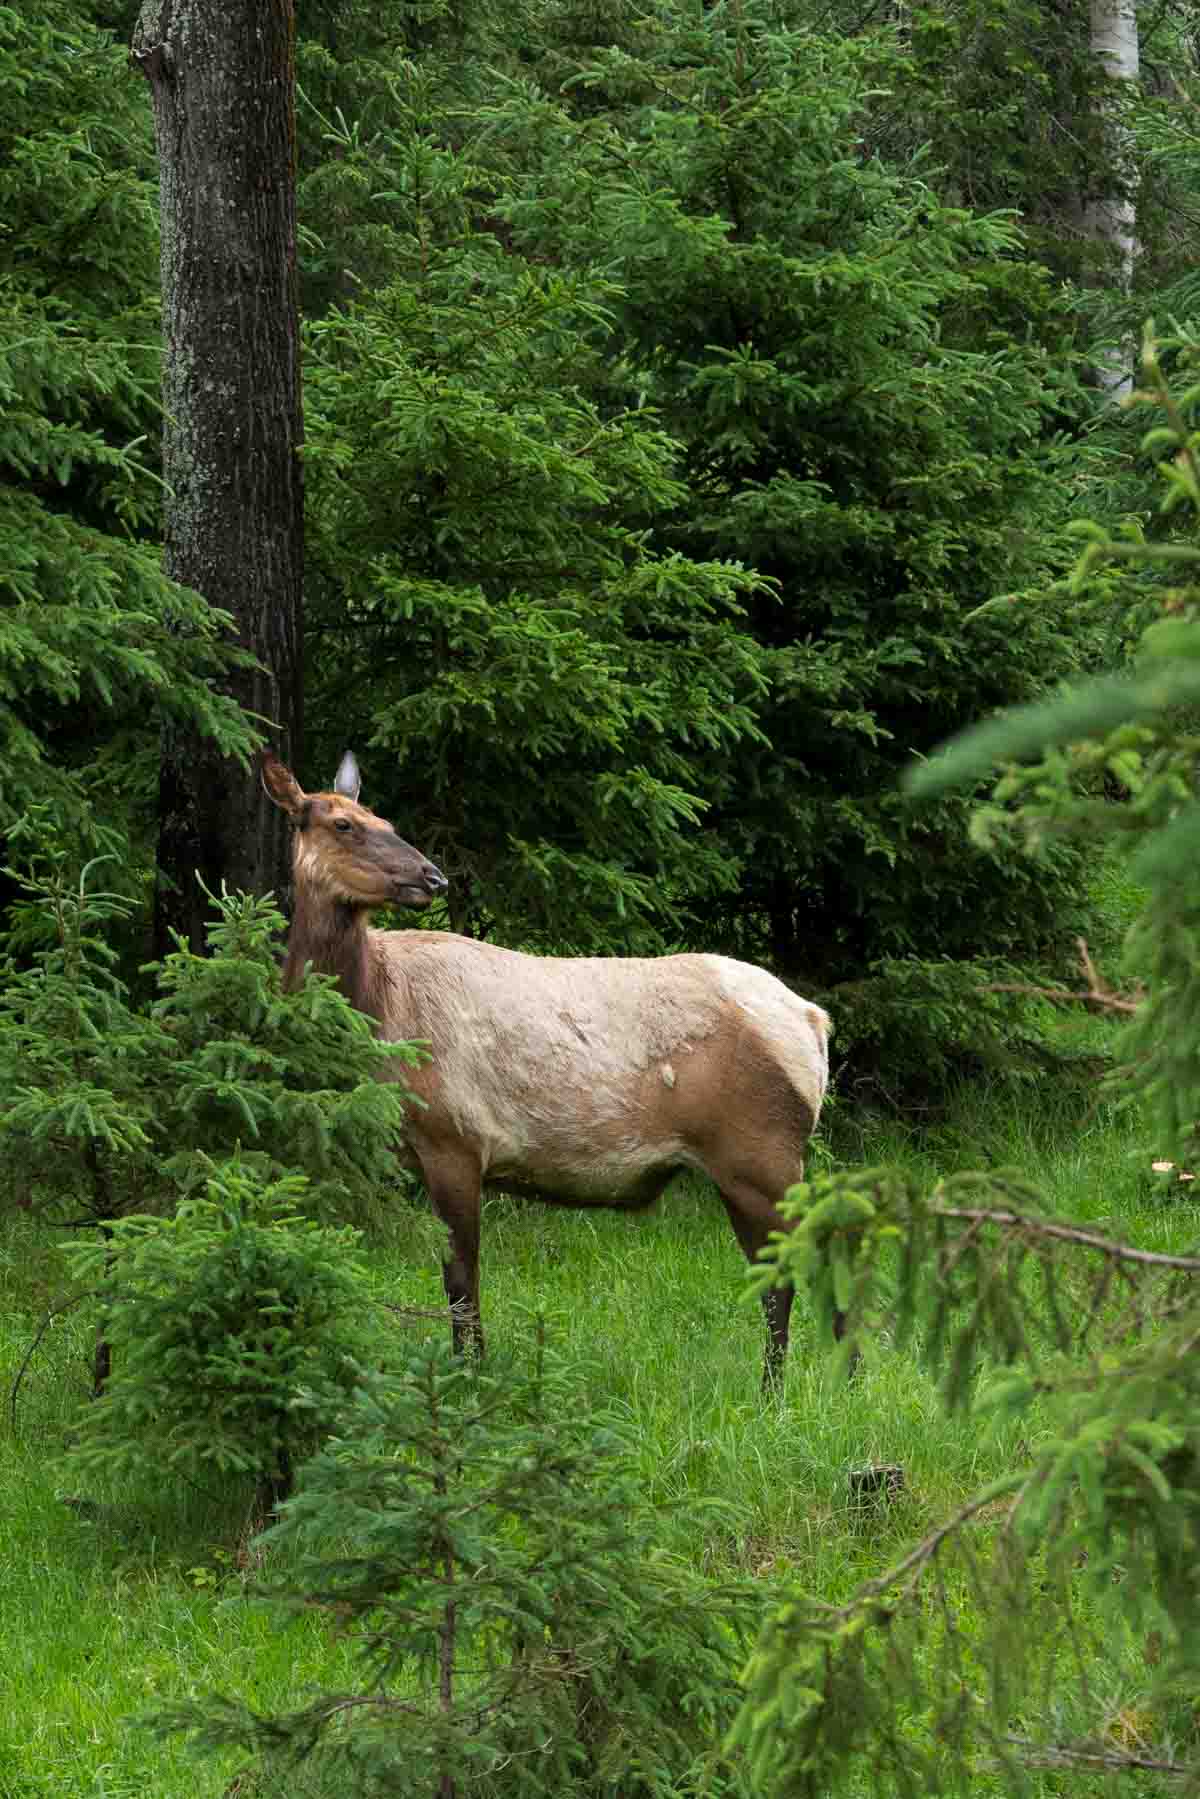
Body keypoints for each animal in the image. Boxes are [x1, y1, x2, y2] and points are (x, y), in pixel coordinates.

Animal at [260, 749, 832, 1386]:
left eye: (383, 820)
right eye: (345, 824)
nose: (433, 877)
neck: (375, 1008)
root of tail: (815, 1023)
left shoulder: (454, 1140)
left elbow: (461, 1282)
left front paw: (471, 1376)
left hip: (759, 1155)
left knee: (791, 1275)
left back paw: (775, 1389)